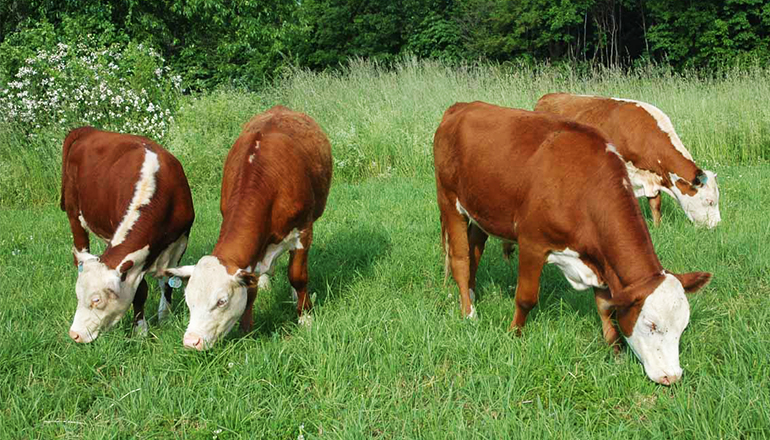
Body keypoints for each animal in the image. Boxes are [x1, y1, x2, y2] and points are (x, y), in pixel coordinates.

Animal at [62, 125, 195, 342]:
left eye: (96, 300)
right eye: (77, 296)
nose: (75, 334)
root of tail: (88, 130)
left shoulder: (180, 241)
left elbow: (168, 281)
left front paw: (164, 318)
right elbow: (140, 291)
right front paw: (140, 330)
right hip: (74, 215)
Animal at [166, 105, 332, 350]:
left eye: (221, 301)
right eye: (189, 300)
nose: (191, 341)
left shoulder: (303, 231)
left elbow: (297, 275)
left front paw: (306, 318)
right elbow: (250, 290)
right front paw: (246, 330)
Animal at [536, 94, 720, 229]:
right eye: (709, 201)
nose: (716, 226)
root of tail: (547, 97)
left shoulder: (653, 177)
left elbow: (655, 205)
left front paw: (657, 227)